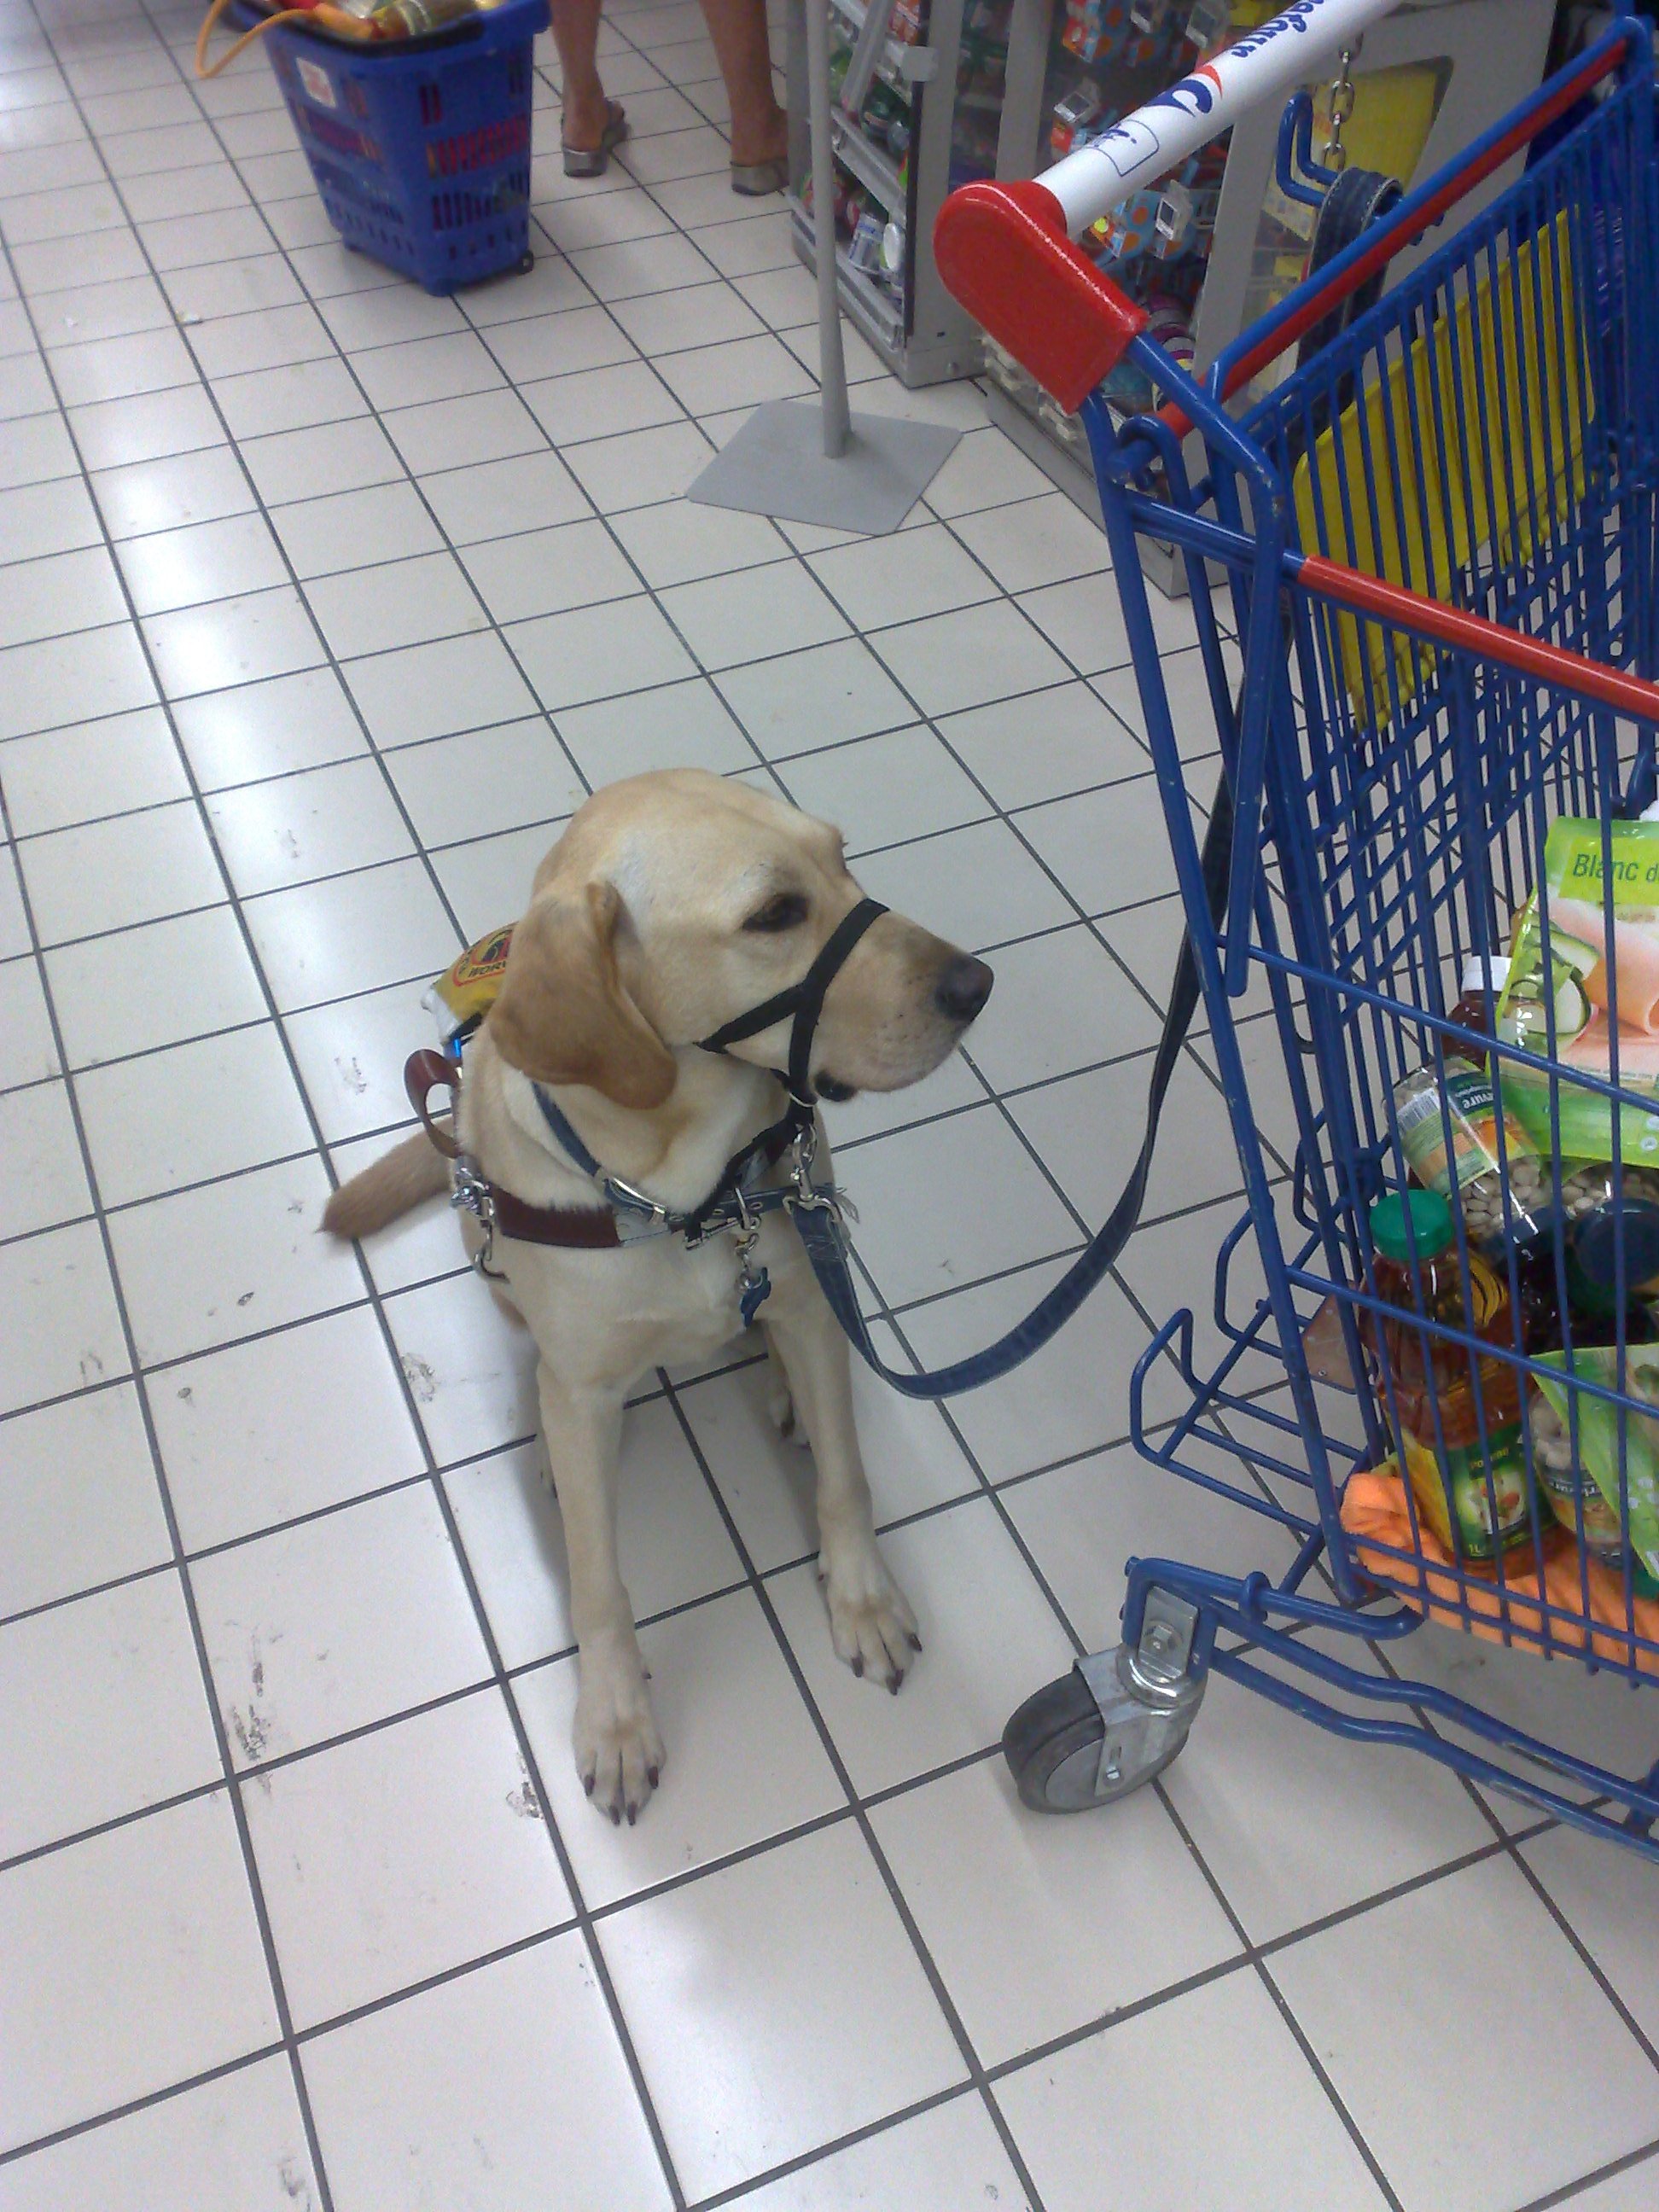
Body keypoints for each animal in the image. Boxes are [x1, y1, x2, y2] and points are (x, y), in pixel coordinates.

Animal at [331, 770, 995, 1822]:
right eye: (775, 914)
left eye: (842, 859)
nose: (976, 984)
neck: (684, 1192)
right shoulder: (587, 1379)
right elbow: (598, 1585)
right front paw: (614, 1721)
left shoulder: (812, 1293)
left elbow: (846, 1478)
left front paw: (863, 1599)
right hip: (485, 1247)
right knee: (546, 1374)